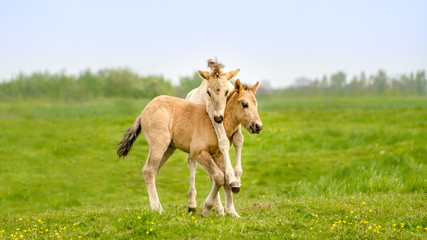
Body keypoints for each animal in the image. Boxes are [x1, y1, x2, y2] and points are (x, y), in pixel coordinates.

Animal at [118, 80, 262, 218]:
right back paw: (157, 209)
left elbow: (226, 179)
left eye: (256, 104)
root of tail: (145, 110)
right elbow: (218, 177)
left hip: (168, 149)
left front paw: (232, 212)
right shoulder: (198, 152)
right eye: (244, 104)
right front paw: (206, 209)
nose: (258, 126)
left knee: (152, 171)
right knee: (149, 170)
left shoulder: (218, 155)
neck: (216, 124)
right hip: (159, 145)